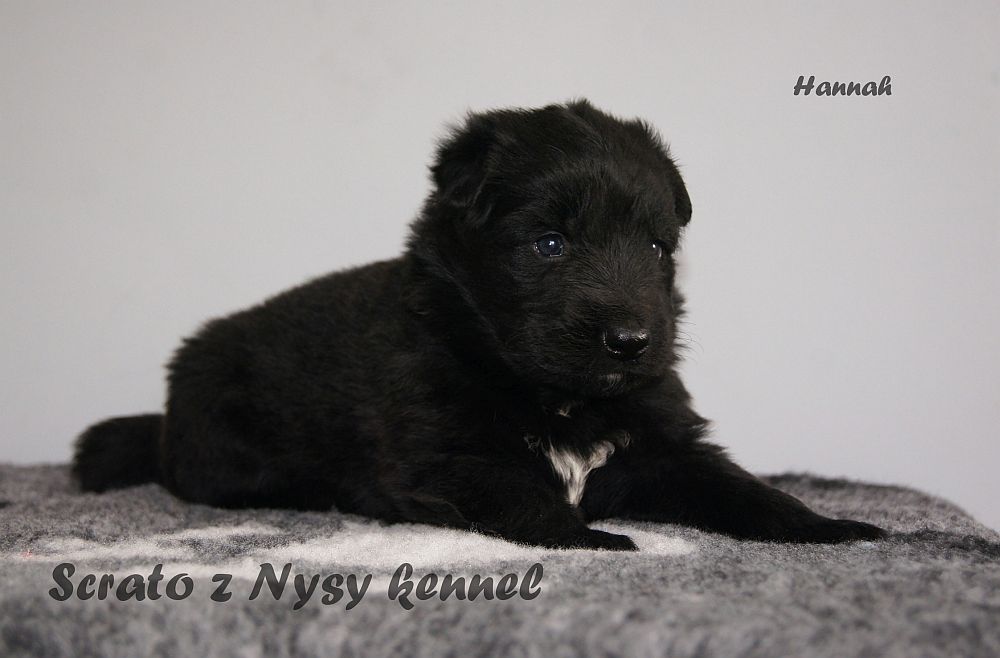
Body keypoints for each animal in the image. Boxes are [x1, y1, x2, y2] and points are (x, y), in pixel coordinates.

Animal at [73, 100, 886, 549]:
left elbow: (745, 489)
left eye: (659, 249)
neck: (559, 397)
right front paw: (595, 539)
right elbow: (526, 499)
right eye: (550, 244)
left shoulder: (666, 444)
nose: (630, 341)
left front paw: (828, 527)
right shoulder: (449, 453)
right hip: (231, 456)